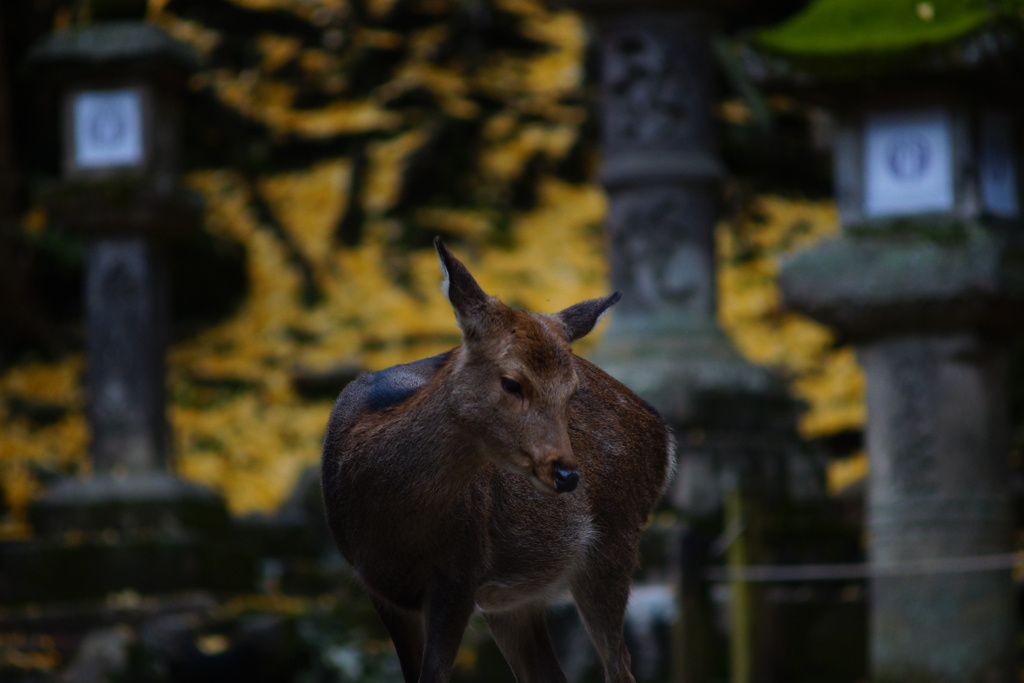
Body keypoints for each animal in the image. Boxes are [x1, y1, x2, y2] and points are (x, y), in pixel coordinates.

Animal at [319, 239, 671, 683]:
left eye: (572, 391)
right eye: (511, 382)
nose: (567, 474)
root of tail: (664, 433)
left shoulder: (460, 572)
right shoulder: (379, 587)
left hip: (613, 542)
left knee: (619, 666)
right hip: (515, 600)